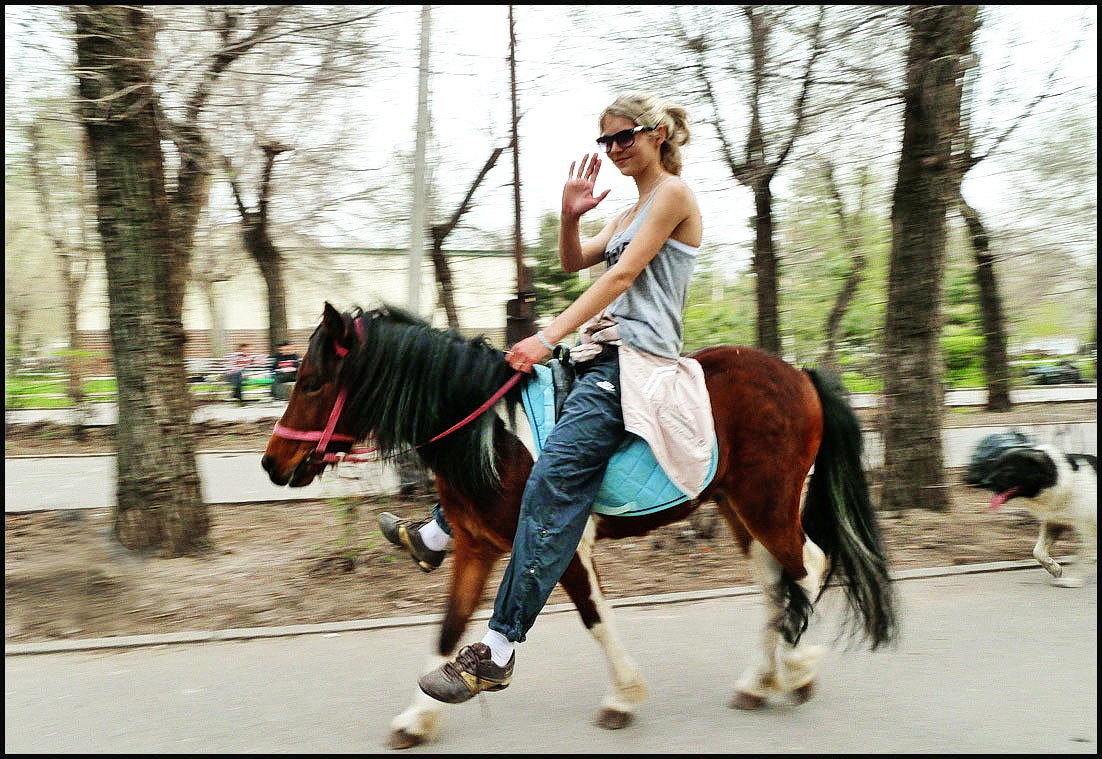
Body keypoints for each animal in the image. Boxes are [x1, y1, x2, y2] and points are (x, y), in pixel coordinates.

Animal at [264, 301, 894, 744]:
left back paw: (798, 668)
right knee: (773, 583)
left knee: (806, 563)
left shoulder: (554, 542)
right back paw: (761, 681)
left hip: (768, 501)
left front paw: (623, 698)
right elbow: (449, 628)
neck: (492, 436)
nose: (273, 463)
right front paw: (419, 717)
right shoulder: (476, 546)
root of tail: (801, 374)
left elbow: (592, 618)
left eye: (313, 381)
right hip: (736, 506)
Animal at [982, 445, 1093, 586]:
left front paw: (1073, 580)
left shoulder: (1088, 526)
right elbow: (1038, 551)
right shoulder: (1054, 521)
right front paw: (1054, 568)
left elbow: (1083, 555)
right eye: (996, 466)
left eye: (1008, 470)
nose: (984, 483)